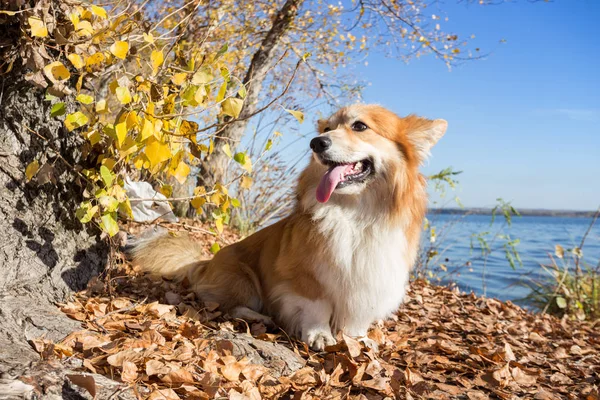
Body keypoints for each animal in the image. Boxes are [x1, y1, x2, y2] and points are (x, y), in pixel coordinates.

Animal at [134, 104, 448, 350]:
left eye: (360, 126)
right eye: (327, 127)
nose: (316, 142)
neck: (356, 213)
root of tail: (204, 263)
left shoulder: (368, 281)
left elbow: (356, 319)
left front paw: (357, 339)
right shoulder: (305, 277)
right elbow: (316, 306)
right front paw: (319, 335)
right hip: (242, 279)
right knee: (227, 304)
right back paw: (260, 317)